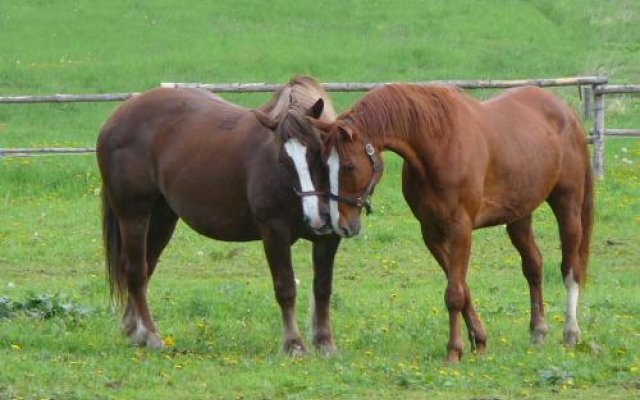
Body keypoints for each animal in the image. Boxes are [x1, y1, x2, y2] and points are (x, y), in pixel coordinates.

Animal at [96, 76, 340, 354]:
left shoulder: (328, 239)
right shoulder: (274, 232)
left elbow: (323, 289)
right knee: (136, 271)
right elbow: (285, 287)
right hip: (133, 214)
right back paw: (150, 334)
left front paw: (325, 343)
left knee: (144, 267)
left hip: (161, 218)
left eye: (318, 149)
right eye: (282, 158)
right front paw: (294, 345)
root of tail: (117, 117)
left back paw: (134, 330)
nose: (316, 217)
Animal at [316, 84, 596, 362]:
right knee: (533, 266)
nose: (341, 224)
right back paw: (538, 330)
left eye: (349, 166)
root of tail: (567, 114)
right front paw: (478, 340)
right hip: (519, 216)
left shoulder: (460, 229)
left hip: (567, 205)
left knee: (570, 268)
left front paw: (453, 350)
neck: (439, 144)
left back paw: (571, 332)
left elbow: (454, 294)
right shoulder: (431, 232)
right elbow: (462, 288)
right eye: (323, 166)